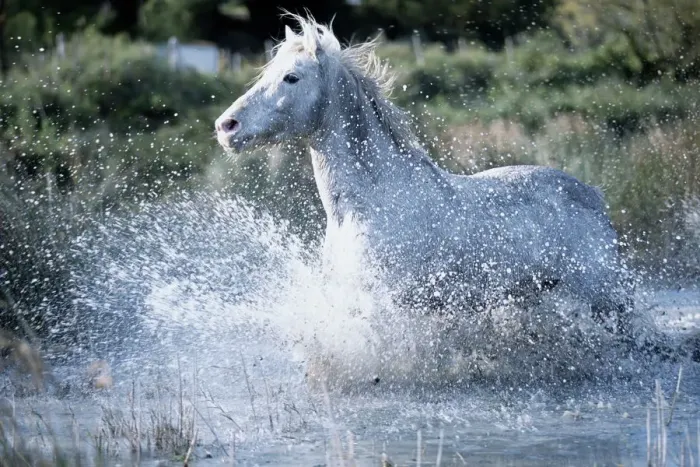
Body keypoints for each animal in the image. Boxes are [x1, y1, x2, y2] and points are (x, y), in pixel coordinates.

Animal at [214, 14, 633, 333]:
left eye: (292, 77)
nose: (226, 127)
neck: (368, 205)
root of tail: (592, 196)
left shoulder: (383, 304)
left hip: (604, 301)